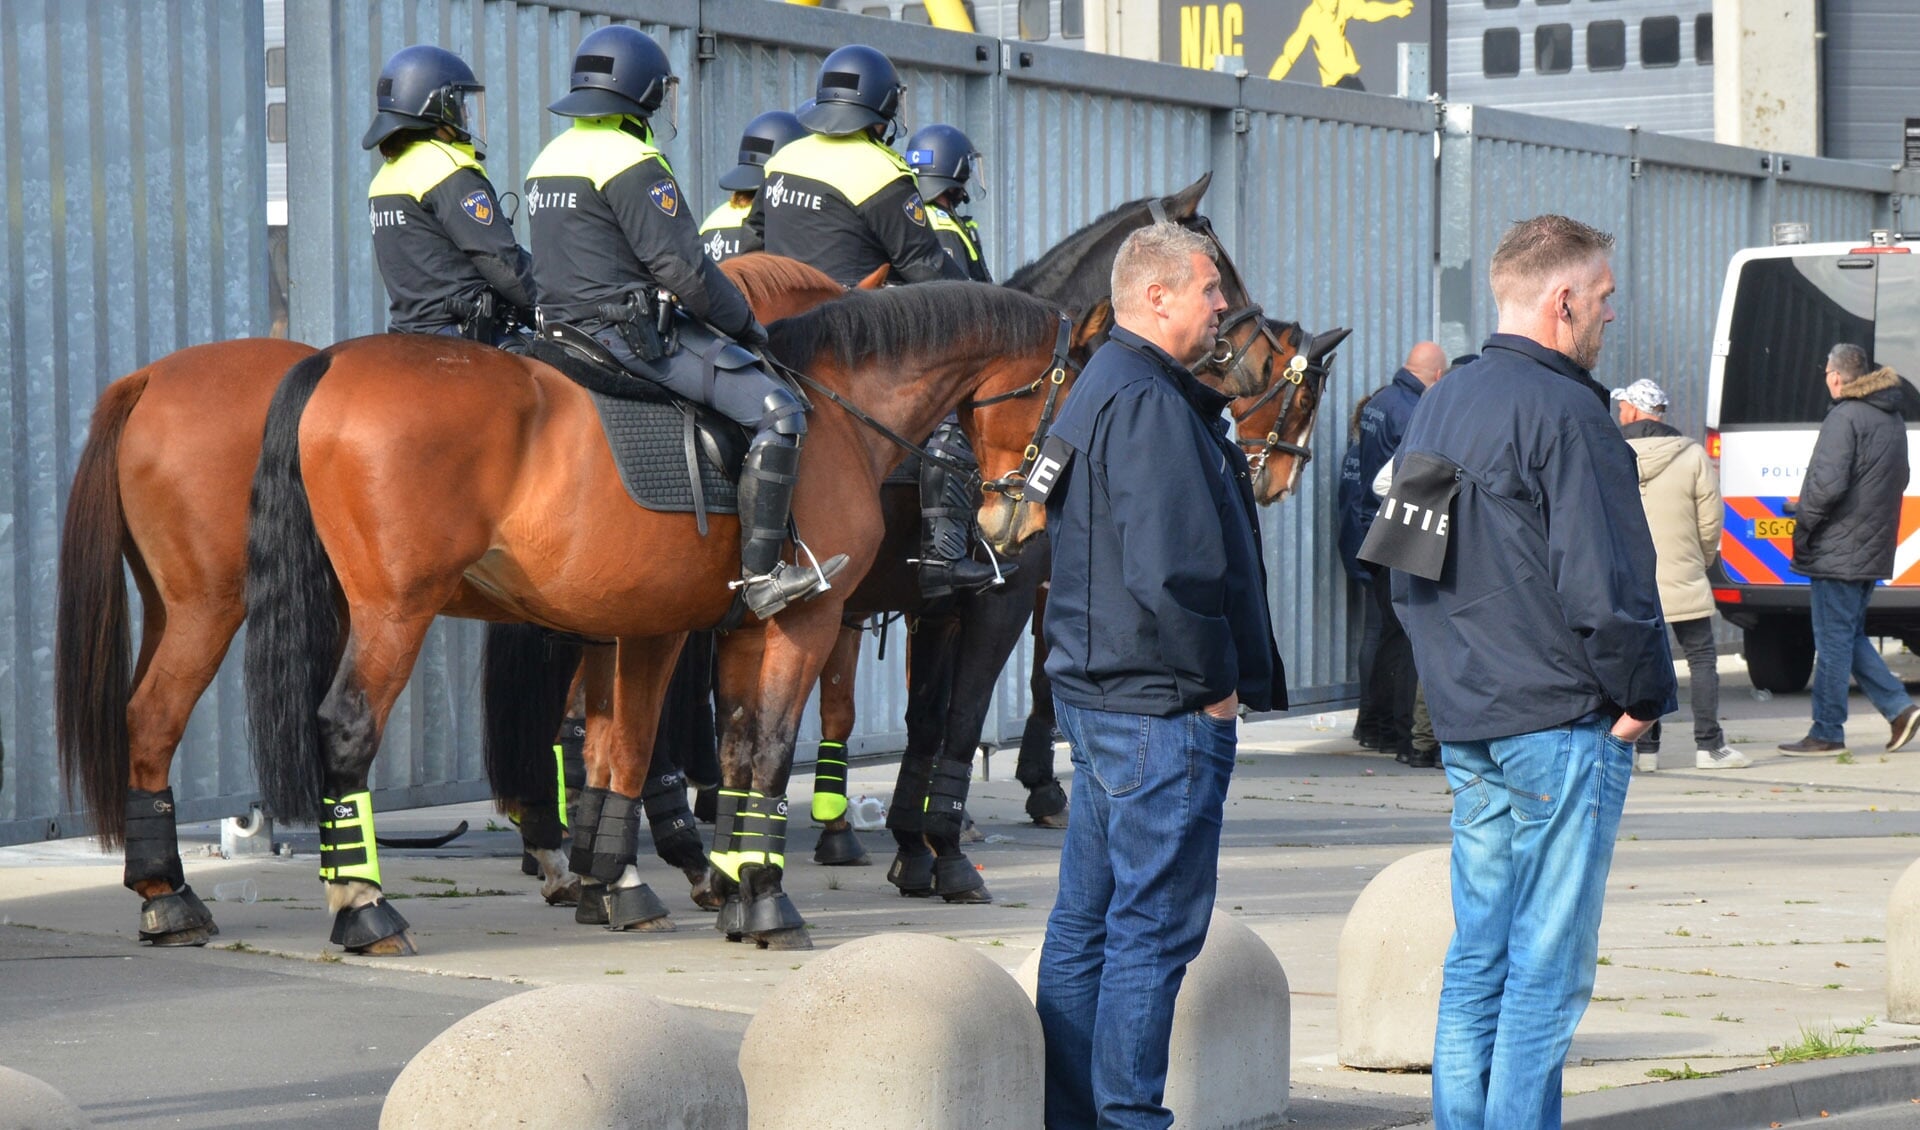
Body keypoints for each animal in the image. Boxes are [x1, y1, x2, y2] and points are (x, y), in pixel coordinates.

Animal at [50, 253, 856, 943]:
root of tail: (148, 378)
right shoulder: (682, 622)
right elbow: (658, 743)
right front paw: (681, 874)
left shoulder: (617, 621)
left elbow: (607, 742)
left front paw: (617, 874)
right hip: (252, 607)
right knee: (184, 720)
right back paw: (321, 905)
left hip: (176, 604)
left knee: (140, 718)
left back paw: (168, 891)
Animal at [243, 282, 1098, 951]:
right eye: (1069, 390)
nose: (1014, 526)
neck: (838, 415)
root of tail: (332, 362)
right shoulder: (811, 620)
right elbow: (772, 747)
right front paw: (771, 900)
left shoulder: (715, 627)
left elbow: (712, 750)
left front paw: (719, 885)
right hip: (396, 611)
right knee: (348, 729)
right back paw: (366, 909)